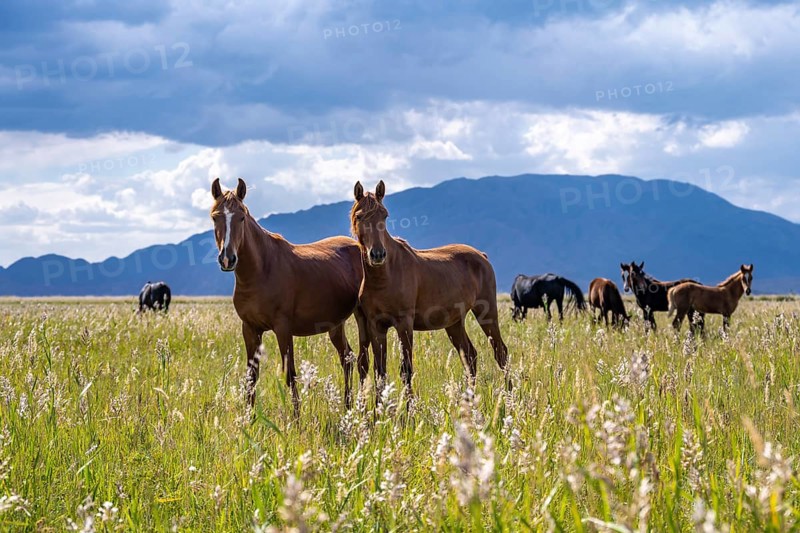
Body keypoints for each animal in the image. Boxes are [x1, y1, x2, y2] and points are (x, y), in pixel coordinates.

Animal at [210, 178, 370, 415]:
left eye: (241, 217)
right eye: (215, 216)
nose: (228, 259)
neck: (261, 270)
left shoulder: (283, 329)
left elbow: (290, 374)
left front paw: (295, 419)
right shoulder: (250, 329)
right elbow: (251, 377)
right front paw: (248, 418)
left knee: (359, 361)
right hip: (335, 325)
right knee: (347, 359)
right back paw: (347, 407)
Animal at [350, 180, 508, 399]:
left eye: (384, 215)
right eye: (359, 216)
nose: (378, 254)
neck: (385, 275)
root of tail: (482, 256)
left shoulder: (404, 324)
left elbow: (406, 370)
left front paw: (408, 408)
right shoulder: (376, 326)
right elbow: (379, 372)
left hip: (487, 314)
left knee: (500, 353)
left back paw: (510, 396)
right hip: (454, 323)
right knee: (470, 356)